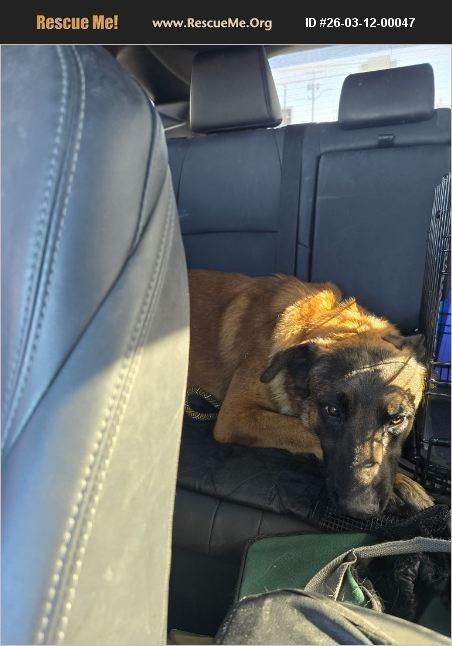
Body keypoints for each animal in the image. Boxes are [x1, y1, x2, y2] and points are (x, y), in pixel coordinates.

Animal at [188, 269, 434, 519]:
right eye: (332, 411)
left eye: (397, 419)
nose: (360, 509)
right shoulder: (235, 415)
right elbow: (302, 430)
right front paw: (401, 482)